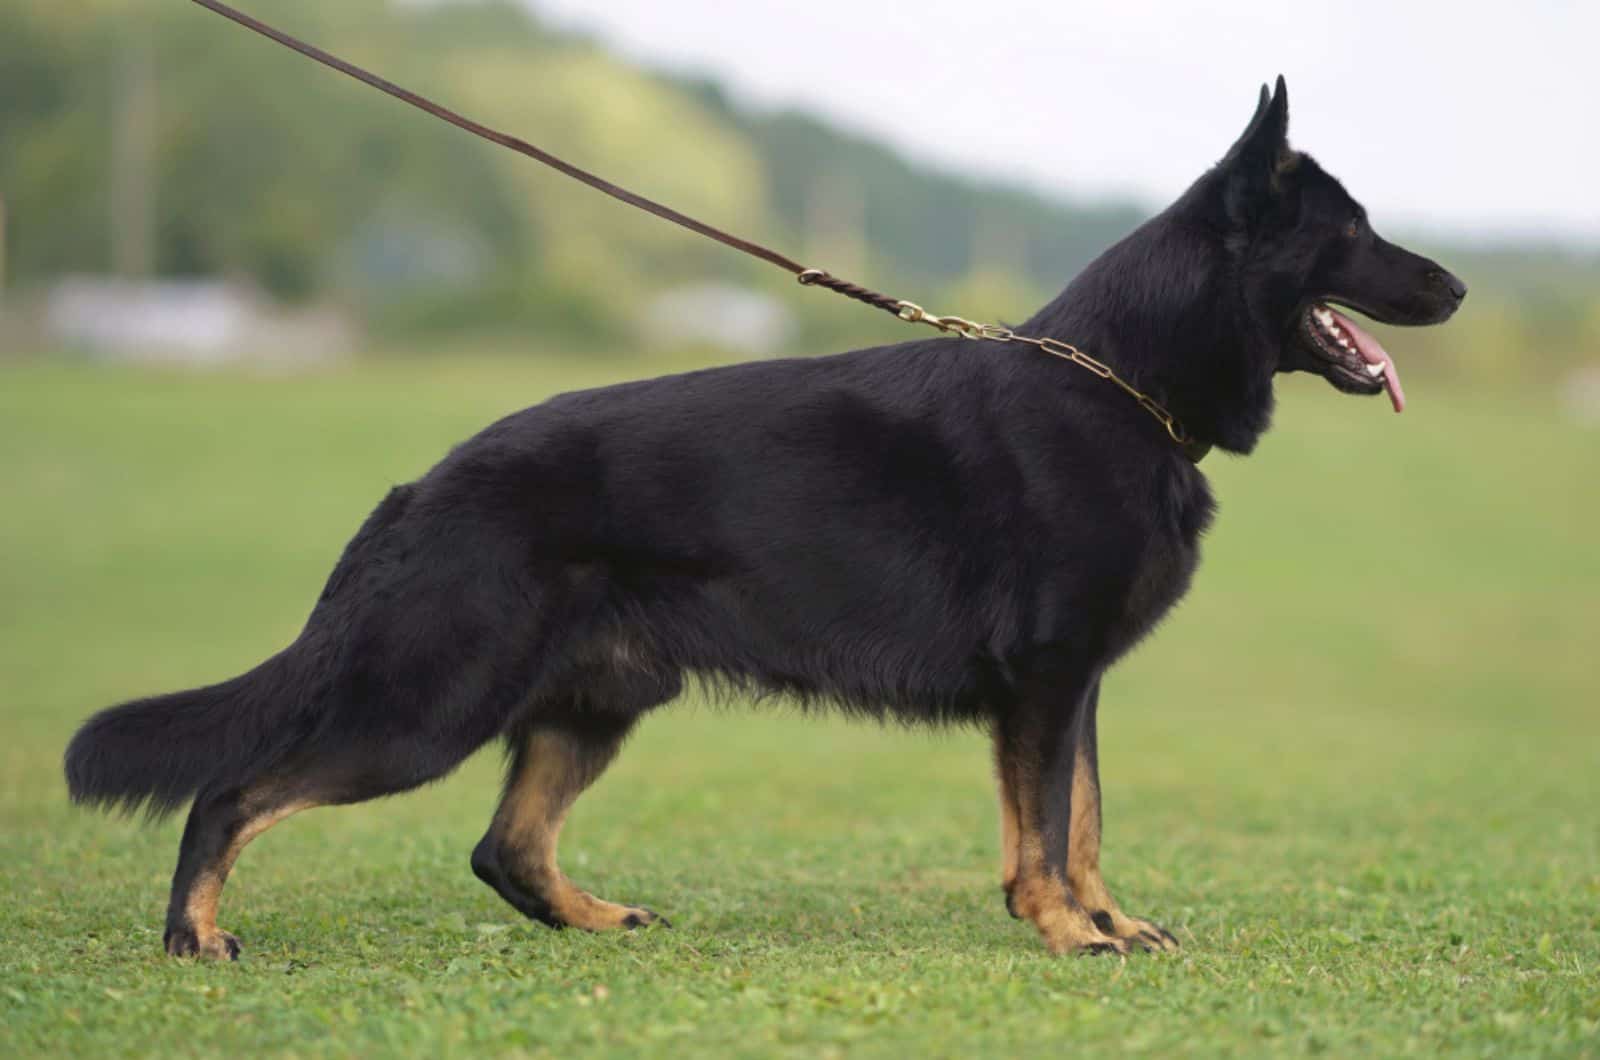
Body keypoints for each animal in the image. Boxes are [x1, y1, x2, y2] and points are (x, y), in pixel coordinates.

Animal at [62, 78, 1465, 960]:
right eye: (1353, 231)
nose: (1453, 287)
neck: (1121, 378)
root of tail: (424, 484)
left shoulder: (1074, 693)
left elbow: (1081, 820)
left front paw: (1105, 920)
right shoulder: (1047, 683)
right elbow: (1049, 834)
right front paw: (1071, 932)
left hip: (593, 705)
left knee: (502, 850)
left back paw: (594, 920)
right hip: (424, 709)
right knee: (233, 791)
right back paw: (193, 936)